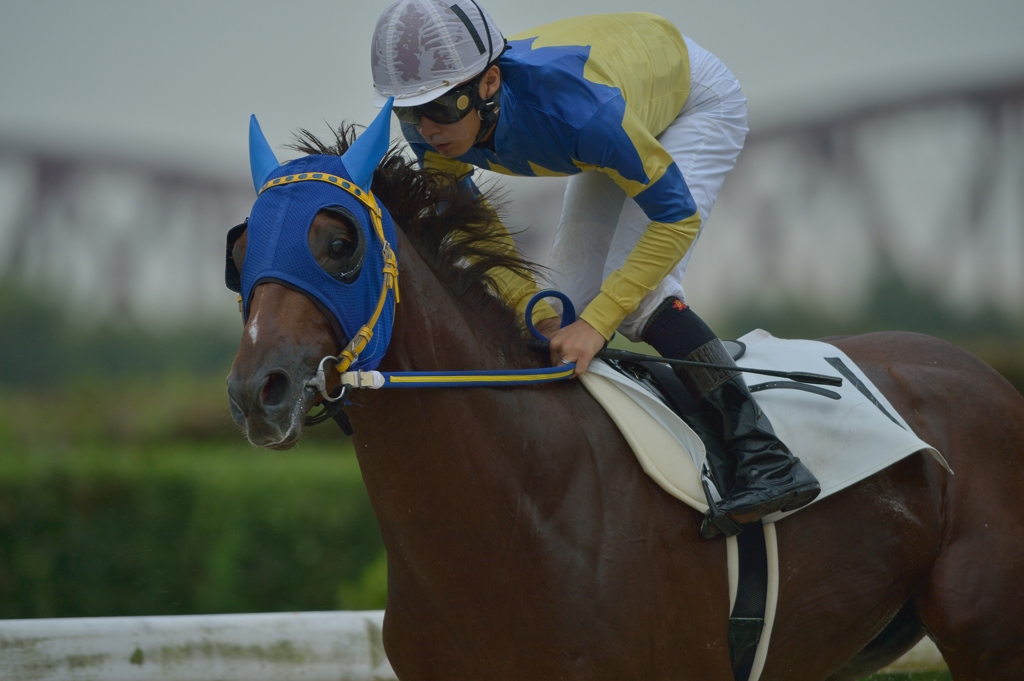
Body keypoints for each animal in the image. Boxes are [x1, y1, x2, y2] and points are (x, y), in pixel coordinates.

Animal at [225, 112, 1024, 680]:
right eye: (240, 252)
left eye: (338, 243)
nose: (257, 391)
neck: (525, 504)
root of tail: (988, 377)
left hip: (984, 631)